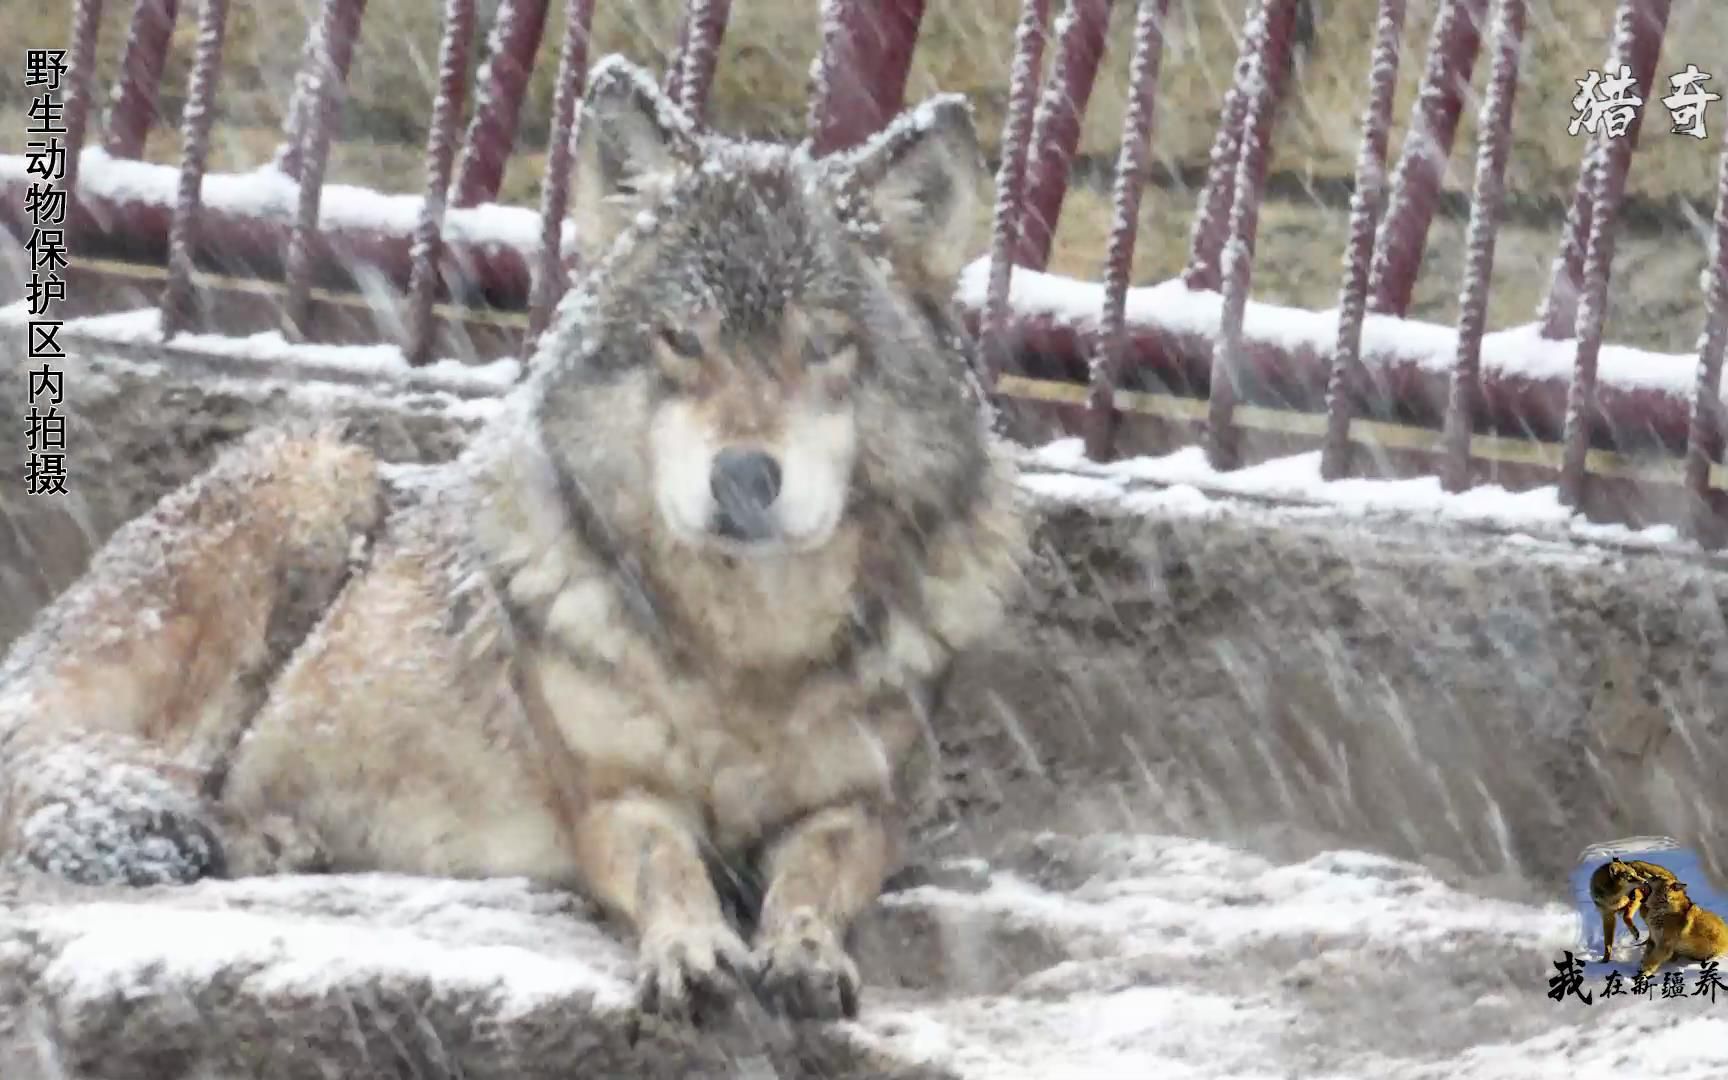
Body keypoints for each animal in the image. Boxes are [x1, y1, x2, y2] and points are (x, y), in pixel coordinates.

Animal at [0, 54, 1022, 1022]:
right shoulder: (612, 798)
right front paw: (691, 952)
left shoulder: (864, 806)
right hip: (313, 476)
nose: (742, 476)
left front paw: (804, 952)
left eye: (824, 345)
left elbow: (814, 879)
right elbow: (668, 868)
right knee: (104, 768)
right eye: (682, 341)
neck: (747, 651)